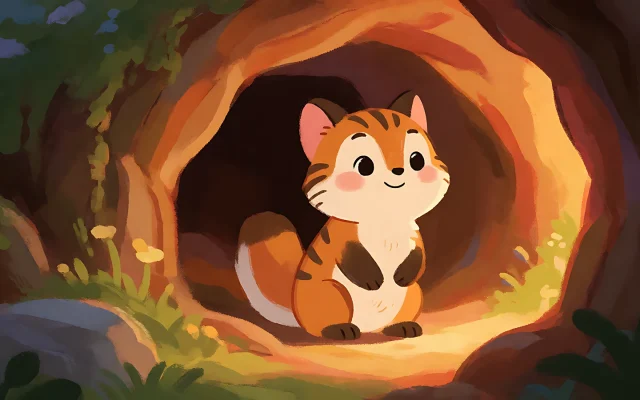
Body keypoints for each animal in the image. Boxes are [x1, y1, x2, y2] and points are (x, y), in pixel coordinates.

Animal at [234, 91, 451, 340]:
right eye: (364, 165)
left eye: (416, 160)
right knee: (323, 326)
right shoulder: (342, 237)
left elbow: (419, 258)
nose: (399, 171)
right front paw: (373, 279)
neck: (384, 220)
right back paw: (340, 330)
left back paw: (402, 327)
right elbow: (353, 258)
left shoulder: (413, 237)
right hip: (334, 293)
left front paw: (401, 275)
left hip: (413, 294)